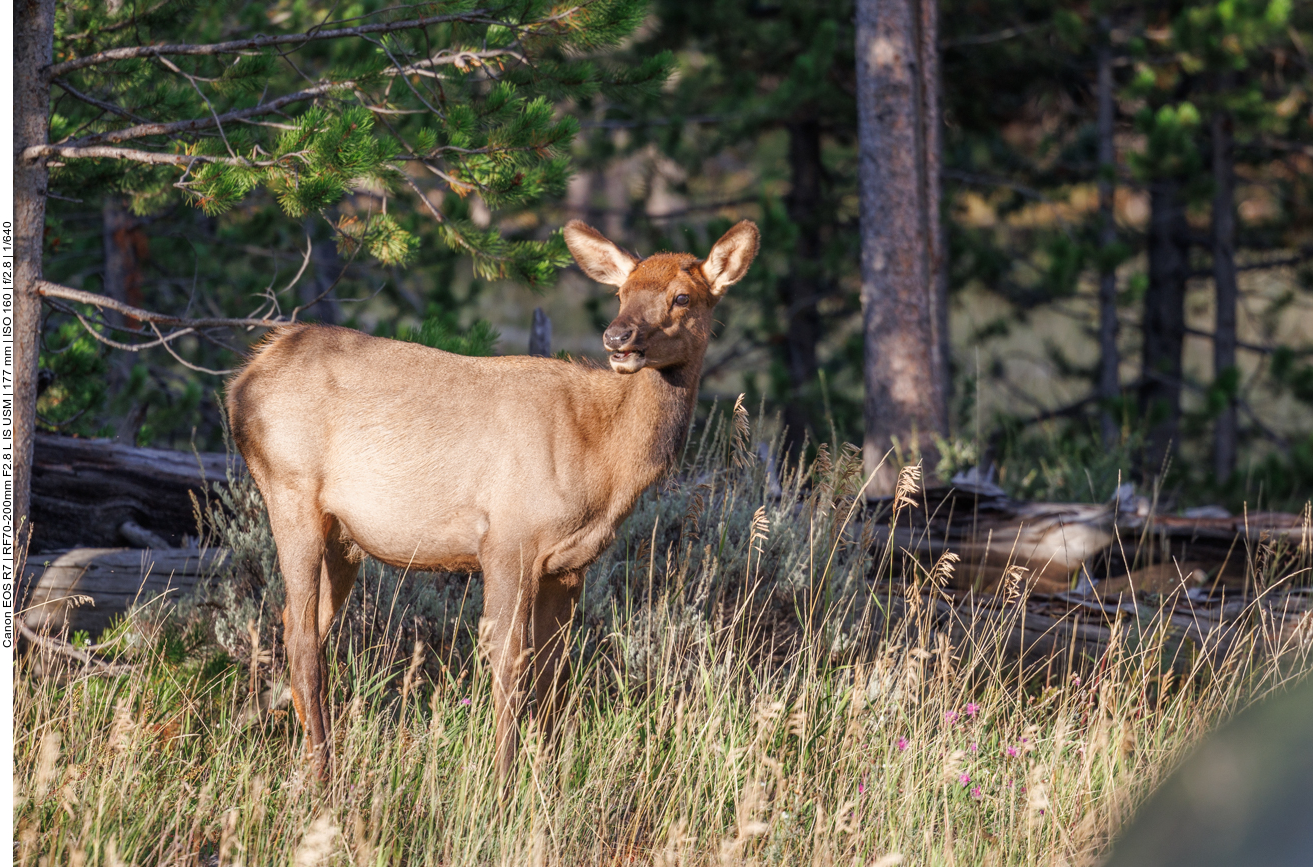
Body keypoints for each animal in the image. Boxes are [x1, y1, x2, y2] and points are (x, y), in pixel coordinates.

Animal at [225, 220, 761, 782]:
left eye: (682, 296)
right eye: (622, 292)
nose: (618, 338)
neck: (602, 456)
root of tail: (244, 379)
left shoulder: (570, 565)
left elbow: (552, 672)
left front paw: (547, 780)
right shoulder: (508, 540)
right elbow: (508, 663)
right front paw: (502, 782)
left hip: (342, 537)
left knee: (298, 623)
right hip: (289, 490)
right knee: (303, 637)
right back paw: (323, 776)